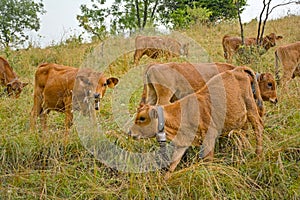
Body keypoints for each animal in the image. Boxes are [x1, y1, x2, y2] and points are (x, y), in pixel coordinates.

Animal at [129, 67, 262, 178]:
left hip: (251, 107)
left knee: (258, 128)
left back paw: (257, 156)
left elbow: (207, 162)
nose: (130, 132)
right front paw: (164, 181)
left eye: (142, 118)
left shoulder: (209, 139)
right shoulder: (183, 142)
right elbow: (173, 163)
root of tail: (238, 70)